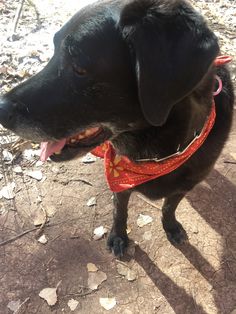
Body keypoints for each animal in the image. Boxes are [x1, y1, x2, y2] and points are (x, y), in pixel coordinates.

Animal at [0, 0, 233, 256]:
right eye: (53, 52)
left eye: (79, 67)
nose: (0, 108)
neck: (161, 155)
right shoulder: (120, 181)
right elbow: (119, 211)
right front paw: (119, 236)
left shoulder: (186, 184)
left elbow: (169, 206)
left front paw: (170, 226)